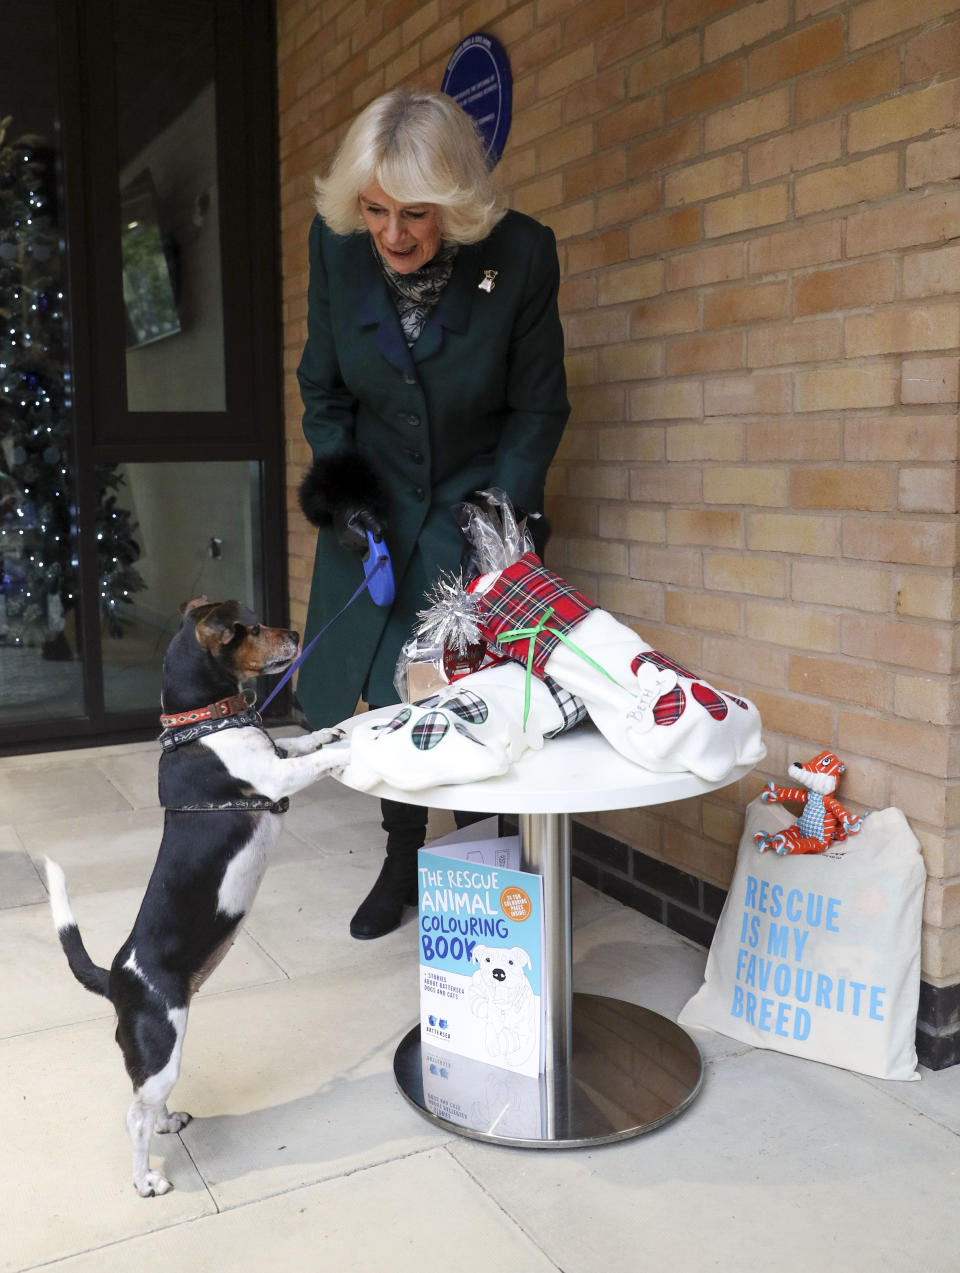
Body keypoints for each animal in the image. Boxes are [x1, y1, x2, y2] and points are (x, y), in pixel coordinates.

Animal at [45, 595, 343, 1191]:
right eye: (251, 627)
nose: (296, 633)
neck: (205, 724)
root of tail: (116, 978)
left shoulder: (273, 755)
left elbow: (296, 743)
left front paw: (327, 733)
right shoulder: (274, 778)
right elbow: (307, 763)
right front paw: (345, 755)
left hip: (163, 1049)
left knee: (145, 1102)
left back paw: (168, 1122)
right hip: (163, 1044)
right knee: (133, 1115)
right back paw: (145, 1181)